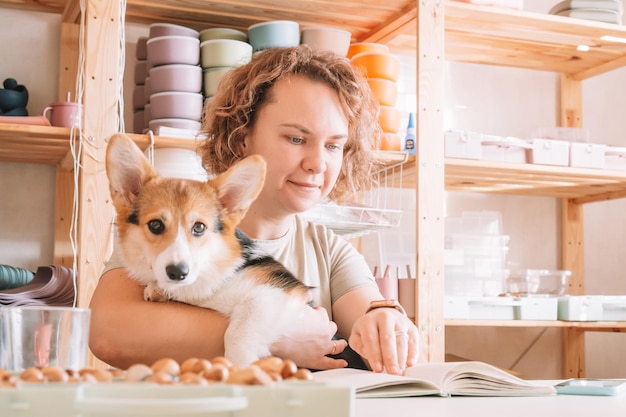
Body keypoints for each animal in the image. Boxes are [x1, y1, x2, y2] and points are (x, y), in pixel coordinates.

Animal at [106, 134, 316, 368]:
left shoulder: (277, 292)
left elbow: (235, 335)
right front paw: (158, 290)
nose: (178, 273)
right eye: (155, 225)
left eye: (199, 227)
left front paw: (241, 366)